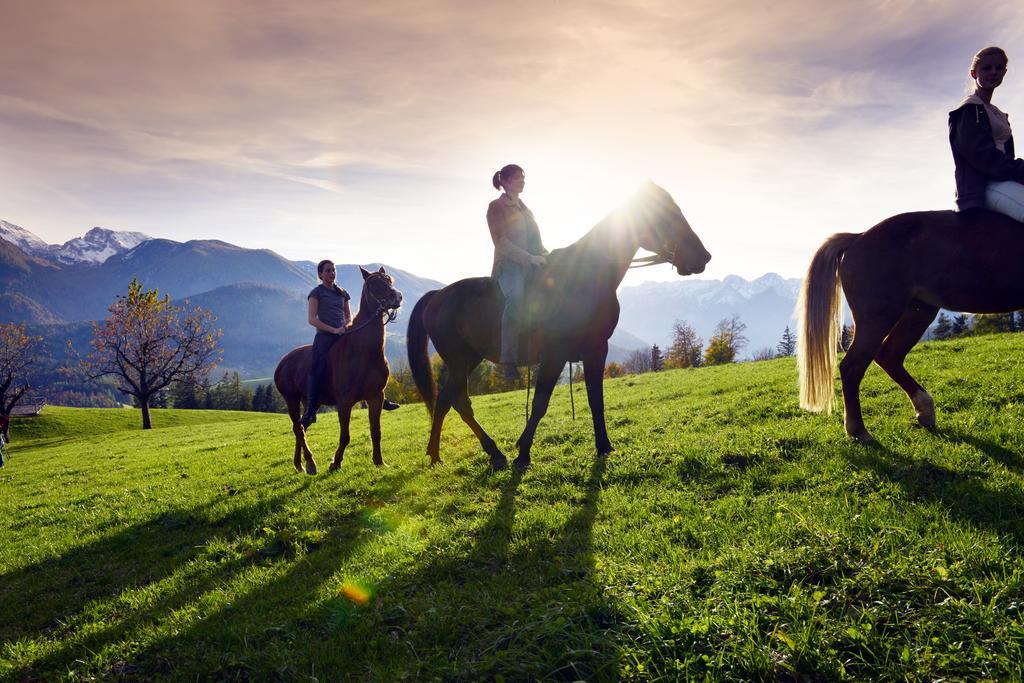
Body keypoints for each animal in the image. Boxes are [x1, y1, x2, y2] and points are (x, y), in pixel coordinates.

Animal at [276, 266, 403, 475]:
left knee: (302, 426)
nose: (397, 296)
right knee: (298, 428)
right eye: (374, 284)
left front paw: (379, 462)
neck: (363, 353)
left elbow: (376, 431)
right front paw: (335, 463)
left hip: (310, 402)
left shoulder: (376, 397)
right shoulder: (344, 402)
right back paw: (310, 463)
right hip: (291, 399)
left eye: (390, 280)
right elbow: (345, 436)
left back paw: (299, 463)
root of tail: (283, 362)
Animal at [407, 179, 712, 473]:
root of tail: (438, 295)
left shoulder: (596, 350)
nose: (703, 257)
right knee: (459, 402)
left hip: (470, 359)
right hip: (458, 360)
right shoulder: (554, 354)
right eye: (665, 215)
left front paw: (604, 447)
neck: (584, 278)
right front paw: (523, 453)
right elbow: (540, 403)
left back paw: (441, 454)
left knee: (446, 400)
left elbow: (596, 400)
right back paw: (487, 452)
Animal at [798, 208, 1024, 444]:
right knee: (853, 366)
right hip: (879, 318)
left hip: (918, 311)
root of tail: (858, 237)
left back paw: (924, 410)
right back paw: (858, 430)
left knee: (888, 356)